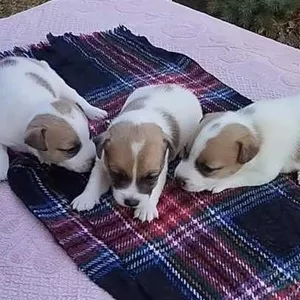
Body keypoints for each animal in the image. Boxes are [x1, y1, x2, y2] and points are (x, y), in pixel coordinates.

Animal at [71, 83, 203, 221]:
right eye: (116, 174)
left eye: (151, 176)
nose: (131, 202)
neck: (138, 121)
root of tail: (180, 88)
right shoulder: (101, 161)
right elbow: (94, 179)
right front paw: (86, 198)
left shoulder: (161, 170)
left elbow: (155, 188)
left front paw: (146, 208)